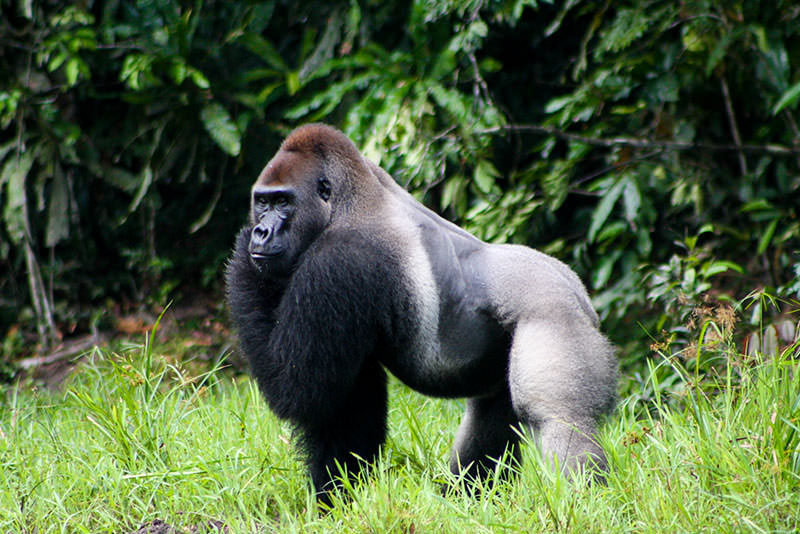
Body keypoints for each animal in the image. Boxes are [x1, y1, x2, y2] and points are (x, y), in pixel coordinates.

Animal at [225, 122, 620, 506]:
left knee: (559, 419)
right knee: (491, 412)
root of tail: (578, 292)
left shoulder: (337, 262)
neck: (349, 202)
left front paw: (241, 250)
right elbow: (345, 404)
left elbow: (300, 390)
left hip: (554, 314)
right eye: (262, 202)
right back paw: (466, 499)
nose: (261, 231)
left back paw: (584, 503)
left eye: (283, 201)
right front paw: (337, 498)